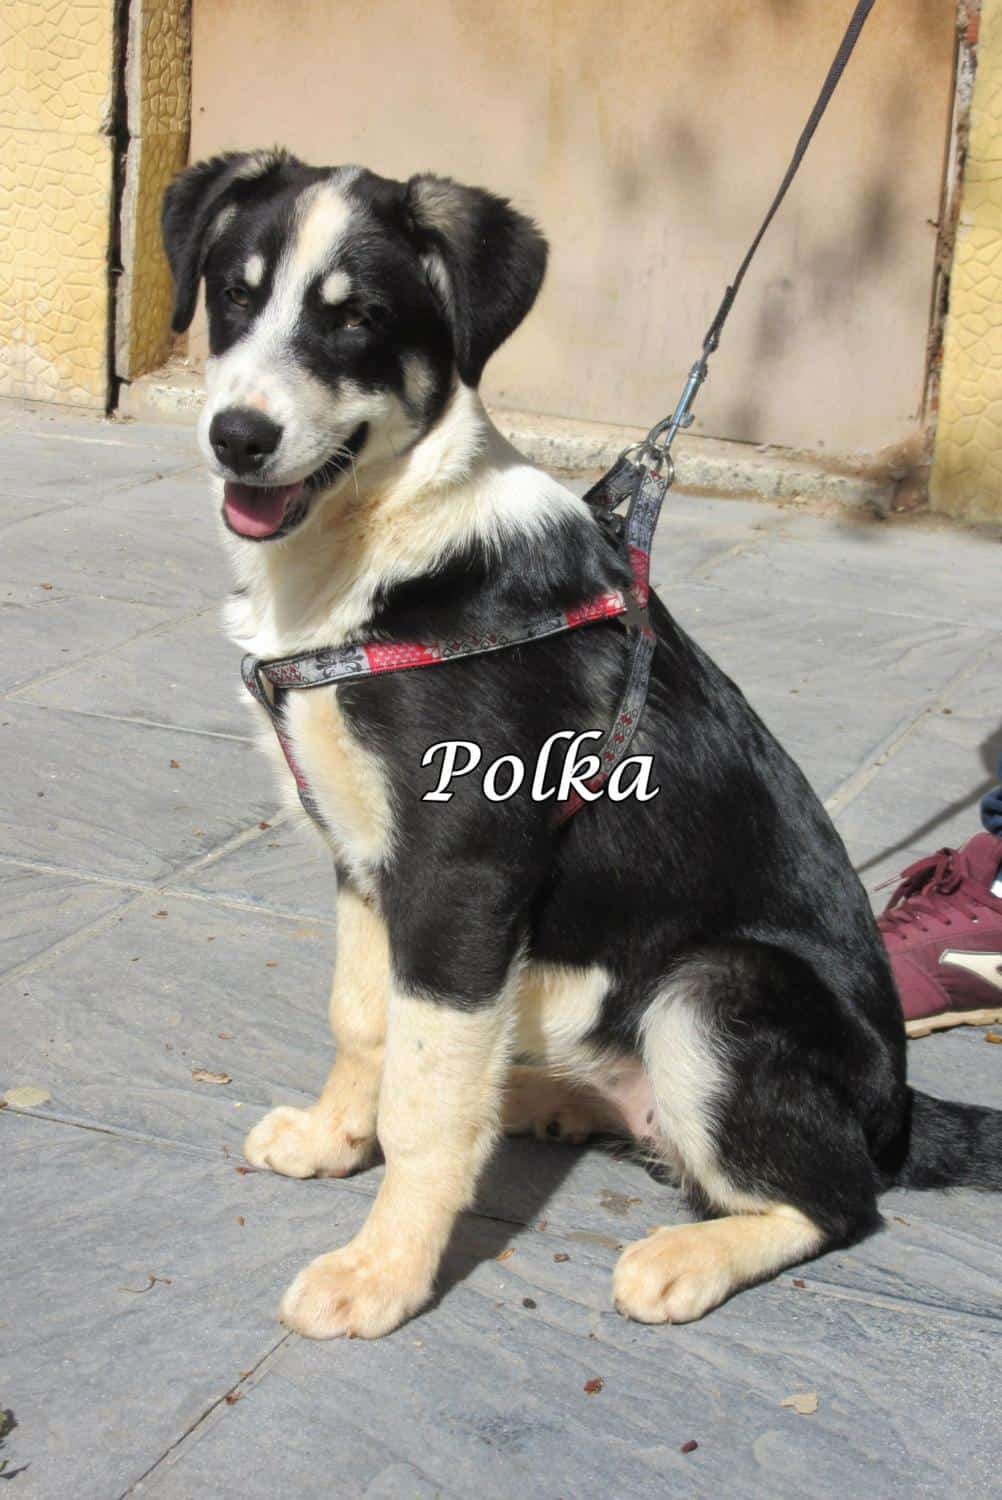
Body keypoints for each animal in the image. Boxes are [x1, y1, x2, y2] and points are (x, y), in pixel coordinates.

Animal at [162, 150, 1002, 1340]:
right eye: (234, 296)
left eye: (359, 319)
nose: (237, 437)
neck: (384, 544)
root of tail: (896, 1112)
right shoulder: (366, 861)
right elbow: (365, 1024)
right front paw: (336, 1140)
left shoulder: (462, 873)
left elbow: (424, 1100)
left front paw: (381, 1273)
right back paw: (546, 1098)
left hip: (716, 987)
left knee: (837, 1203)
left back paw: (686, 1255)